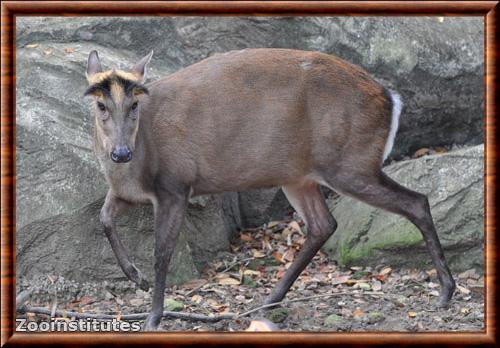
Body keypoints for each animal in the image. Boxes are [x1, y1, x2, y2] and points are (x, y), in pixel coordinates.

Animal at [85, 48, 458, 328]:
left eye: (134, 104)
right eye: (100, 105)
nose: (121, 153)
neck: (139, 163)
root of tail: (390, 98)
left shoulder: (176, 185)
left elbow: (162, 253)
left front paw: (153, 316)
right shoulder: (129, 193)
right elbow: (104, 219)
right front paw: (136, 277)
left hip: (351, 163)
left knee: (416, 201)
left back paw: (446, 292)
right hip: (300, 176)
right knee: (324, 224)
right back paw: (268, 301)